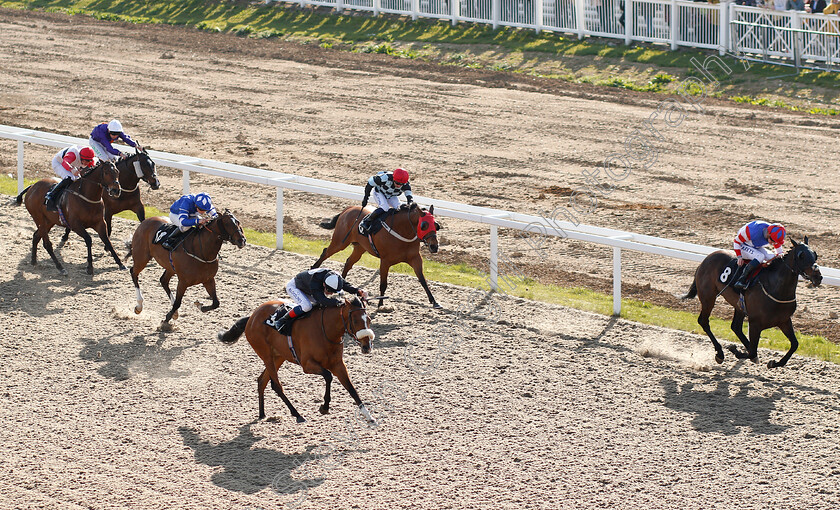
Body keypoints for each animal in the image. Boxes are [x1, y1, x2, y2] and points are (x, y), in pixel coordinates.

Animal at [217, 294, 378, 422]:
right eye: (355, 321)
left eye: (369, 320)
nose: (367, 346)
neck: (325, 330)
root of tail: (251, 317)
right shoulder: (307, 365)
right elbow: (328, 376)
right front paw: (324, 407)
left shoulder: (338, 364)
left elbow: (351, 388)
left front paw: (369, 416)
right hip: (266, 355)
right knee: (276, 385)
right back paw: (297, 414)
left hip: (278, 356)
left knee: (262, 380)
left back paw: (262, 414)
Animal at [312, 204, 442, 308]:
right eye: (424, 225)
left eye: (436, 225)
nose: (434, 246)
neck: (402, 231)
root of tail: (349, 208)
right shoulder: (385, 261)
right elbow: (383, 284)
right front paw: (380, 304)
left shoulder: (415, 258)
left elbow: (423, 280)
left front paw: (434, 301)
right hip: (340, 242)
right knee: (326, 253)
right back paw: (313, 268)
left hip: (359, 248)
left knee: (348, 262)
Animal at [684, 237, 820, 368]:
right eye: (801, 255)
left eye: (815, 254)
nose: (818, 277)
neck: (775, 288)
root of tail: (707, 259)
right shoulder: (755, 323)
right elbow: (752, 352)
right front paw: (735, 350)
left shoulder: (784, 320)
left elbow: (794, 344)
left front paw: (774, 363)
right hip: (708, 297)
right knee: (704, 321)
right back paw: (720, 353)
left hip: (739, 305)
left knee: (736, 327)